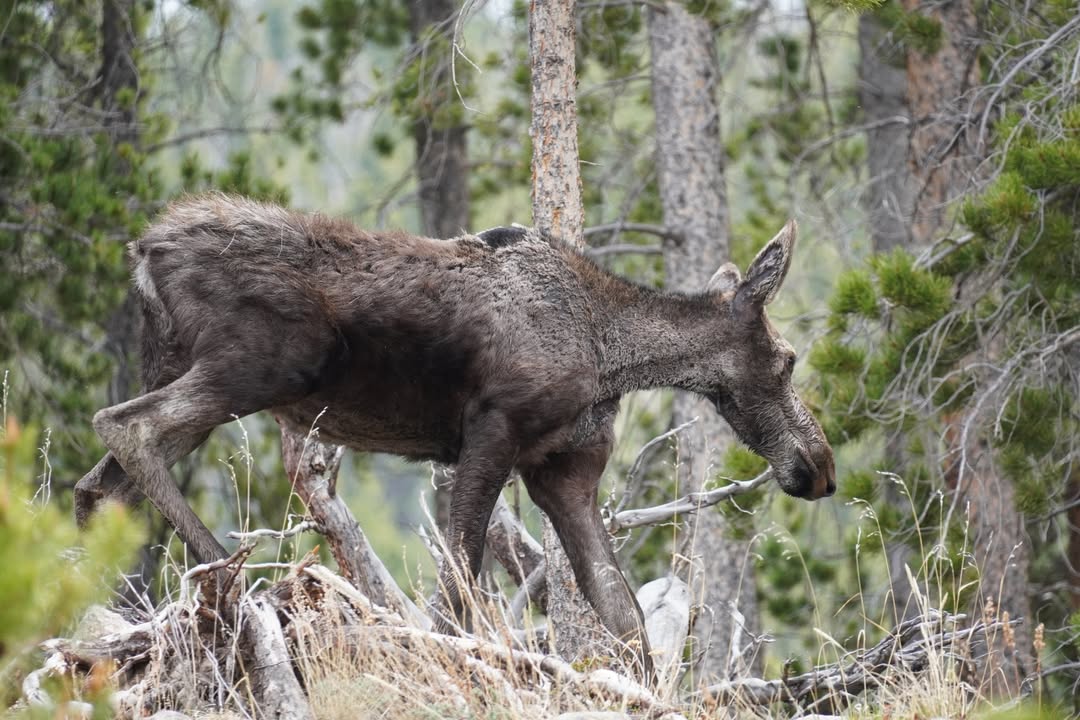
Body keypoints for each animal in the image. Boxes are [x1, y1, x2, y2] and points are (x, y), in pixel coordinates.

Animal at [75, 194, 836, 682]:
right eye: (788, 359)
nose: (820, 468)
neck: (611, 353)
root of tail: (144, 251)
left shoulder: (563, 475)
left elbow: (625, 619)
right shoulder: (491, 431)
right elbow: (458, 592)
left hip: (190, 364)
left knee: (96, 481)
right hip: (260, 365)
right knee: (124, 424)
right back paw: (227, 573)